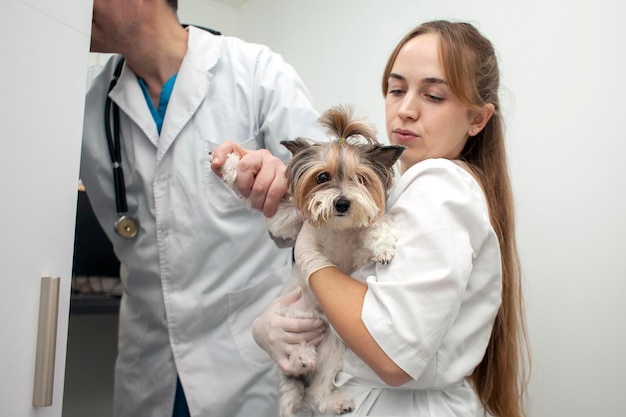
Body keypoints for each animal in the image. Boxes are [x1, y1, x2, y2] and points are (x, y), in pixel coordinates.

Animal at [219, 105, 404, 414]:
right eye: (322, 177)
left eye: (360, 178)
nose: (342, 203)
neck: (338, 228)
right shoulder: (288, 223)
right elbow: (275, 215)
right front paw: (232, 165)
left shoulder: (359, 247)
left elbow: (377, 225)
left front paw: (384, 248)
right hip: (289, 322)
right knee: (294, 368)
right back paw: (301, 357)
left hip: (333, 347)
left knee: (315, 391)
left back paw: (330, 396)